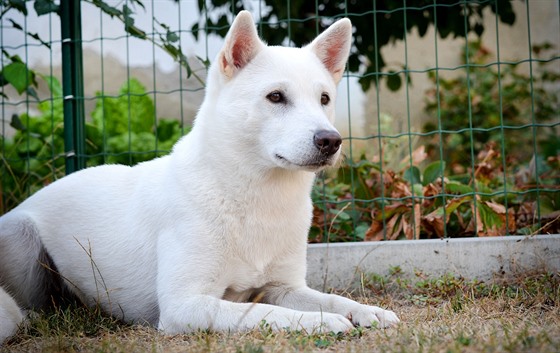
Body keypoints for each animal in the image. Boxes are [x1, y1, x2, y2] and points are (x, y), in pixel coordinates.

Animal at [1, 10, 398, 340]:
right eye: (275, 97)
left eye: (325, 99)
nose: (330, 140)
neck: (253, 197)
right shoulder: (185, 305)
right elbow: (263, 311)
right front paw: (320, 322)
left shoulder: (286, 288)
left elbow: (330, 298)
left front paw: (365, 310)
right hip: (21, 237)